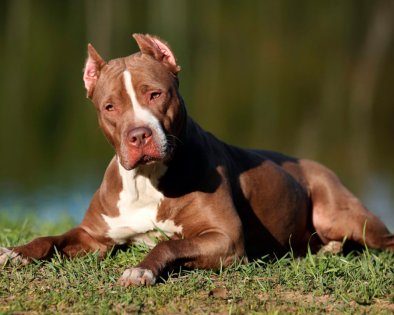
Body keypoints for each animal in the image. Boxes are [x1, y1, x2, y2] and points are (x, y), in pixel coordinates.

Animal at [0, 34, 394, 286]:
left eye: (155, 94)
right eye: (110, 107)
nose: (138, 135)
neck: (146, 179)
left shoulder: (225, 238)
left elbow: (169, 243)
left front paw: (140, 270)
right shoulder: (94, 236)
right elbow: (50, 238)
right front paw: (15, 252)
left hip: (342, 215)